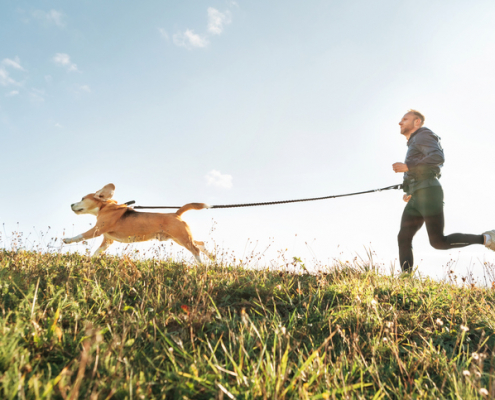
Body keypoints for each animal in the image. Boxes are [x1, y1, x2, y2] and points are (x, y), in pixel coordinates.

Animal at [62, 184, 213, 264]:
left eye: (82, 198)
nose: (71, 204)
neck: (105, 207)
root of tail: (176, 213)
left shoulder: (97, 229)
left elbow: (80, 236)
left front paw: (67, 240)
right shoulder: (107, 240)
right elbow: (97, 252)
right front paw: (90, 260)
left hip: (182, 237)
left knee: (196, 249)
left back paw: (201, 265)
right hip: (180, 238)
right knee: (200, 243)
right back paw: (212, 257)